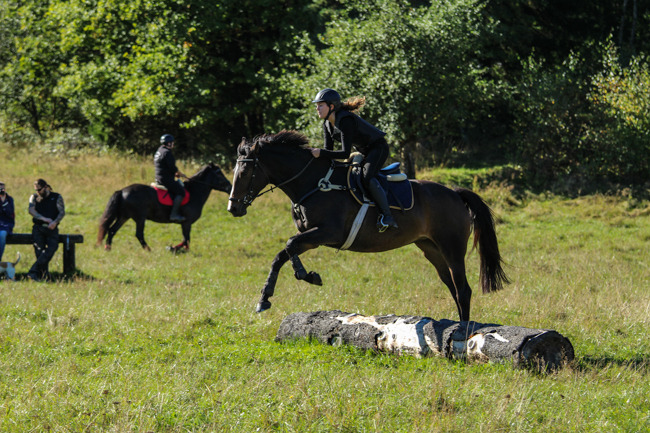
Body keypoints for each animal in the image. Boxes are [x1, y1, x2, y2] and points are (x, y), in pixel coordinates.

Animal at [97, 163, 232, 252]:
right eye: (219, 173)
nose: (230, 187)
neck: (194, 192)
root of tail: (122, 191)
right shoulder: (186, 223)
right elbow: (186, 239)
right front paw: (174, 248)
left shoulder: (186, 224)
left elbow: (185, 239)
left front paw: (174, 248)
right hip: (140, 218)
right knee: (139, 234)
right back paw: (148, 249)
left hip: (124, 217)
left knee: (112, 230)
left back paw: (108, 248)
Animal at [227, 130, 509, 322]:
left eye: (245, 172)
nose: (233, 208)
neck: (312, 183)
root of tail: (455, 193)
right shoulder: (310, 235)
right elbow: (283, 253)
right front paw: (268, 297)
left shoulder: (327, 233)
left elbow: (289, 245)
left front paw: (304, 278)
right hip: (431, 248)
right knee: (451, 285)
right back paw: (458, 324)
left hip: (452, 248)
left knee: (463, 289)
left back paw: (463, 331)